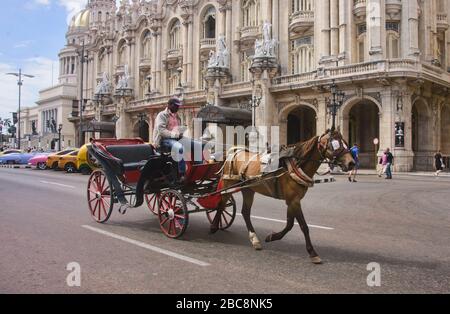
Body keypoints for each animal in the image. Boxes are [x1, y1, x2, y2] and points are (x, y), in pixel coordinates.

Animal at [214, 131, 356, 264]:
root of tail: (234, 153)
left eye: (345, 143)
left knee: (245, 212)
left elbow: (289, 224)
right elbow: (303, 226)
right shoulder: (294, 201)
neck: (296, 165)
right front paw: (312, 253)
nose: (351, 163)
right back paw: (214, 226)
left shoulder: (292, 200)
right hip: (228, 185)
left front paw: (272, 237)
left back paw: (254, 240)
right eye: (335, 145)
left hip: (248, 189)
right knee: (221, 203)